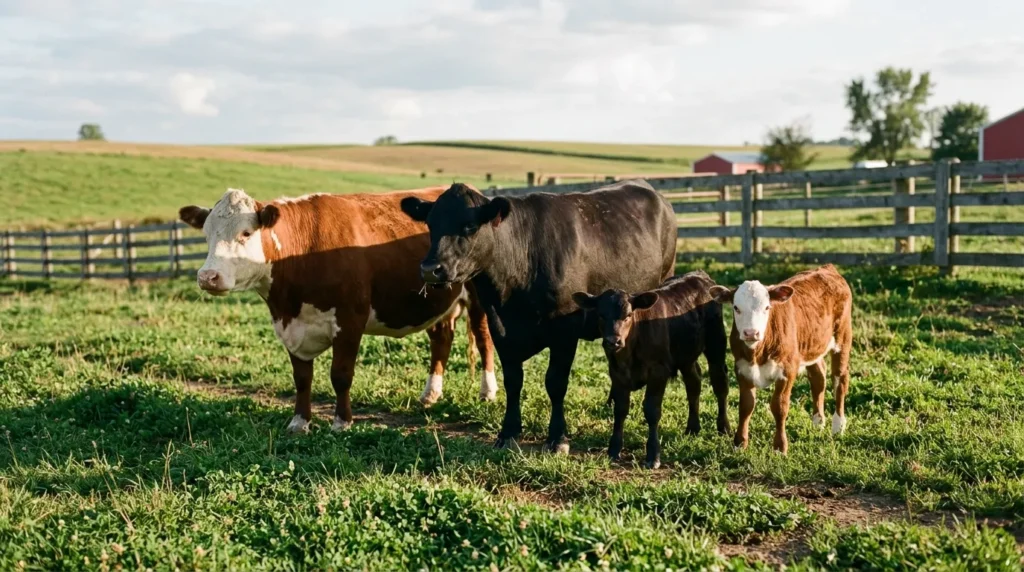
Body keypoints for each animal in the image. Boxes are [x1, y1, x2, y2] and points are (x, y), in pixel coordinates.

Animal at [178, 187, 497, 434]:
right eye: (206, 235)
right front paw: (299, 423)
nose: (208, 277)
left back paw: (488, 391)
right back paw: (431, 394)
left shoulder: (349, 320)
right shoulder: (290, 325)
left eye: (245, 233)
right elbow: (301, 378)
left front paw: (342, 423)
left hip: (479, 298)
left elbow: (341, 375)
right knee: (441, 338)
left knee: (484, 340)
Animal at [400, 180, 677, 453]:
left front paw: (557, 437)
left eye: (469, 226)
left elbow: (555, 382)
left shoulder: (565, 331)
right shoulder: (500, 328)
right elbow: (513, 381)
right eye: (430, 223)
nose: (431, 269)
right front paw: (508, 432)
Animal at [572, 271, 730, 469]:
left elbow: (652, 411)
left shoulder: (658, 372)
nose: (613, 341)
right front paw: (614, 449)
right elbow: (620, 410)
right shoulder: (617, 373)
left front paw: (653, 455)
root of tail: (699, 274)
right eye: (601, 315)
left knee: (719, 383)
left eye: (628, 315)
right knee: (693, 382)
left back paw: (724, 427)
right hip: (686, 354)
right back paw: (692, 428)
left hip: (716, 343)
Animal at [709, 264, 852, 455]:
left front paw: (779, 447)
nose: (751, 333)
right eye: (736, 307)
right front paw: (740, 444)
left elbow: (779, 407)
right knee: (818, 378)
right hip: (812, 345)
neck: (758, 353)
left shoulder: (787, 370)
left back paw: (838, 426)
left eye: (767, 307)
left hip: (842, 338)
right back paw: (818, 421)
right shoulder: (742, 369)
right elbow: (746, 406)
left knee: (839, 379)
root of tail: (827, 268)